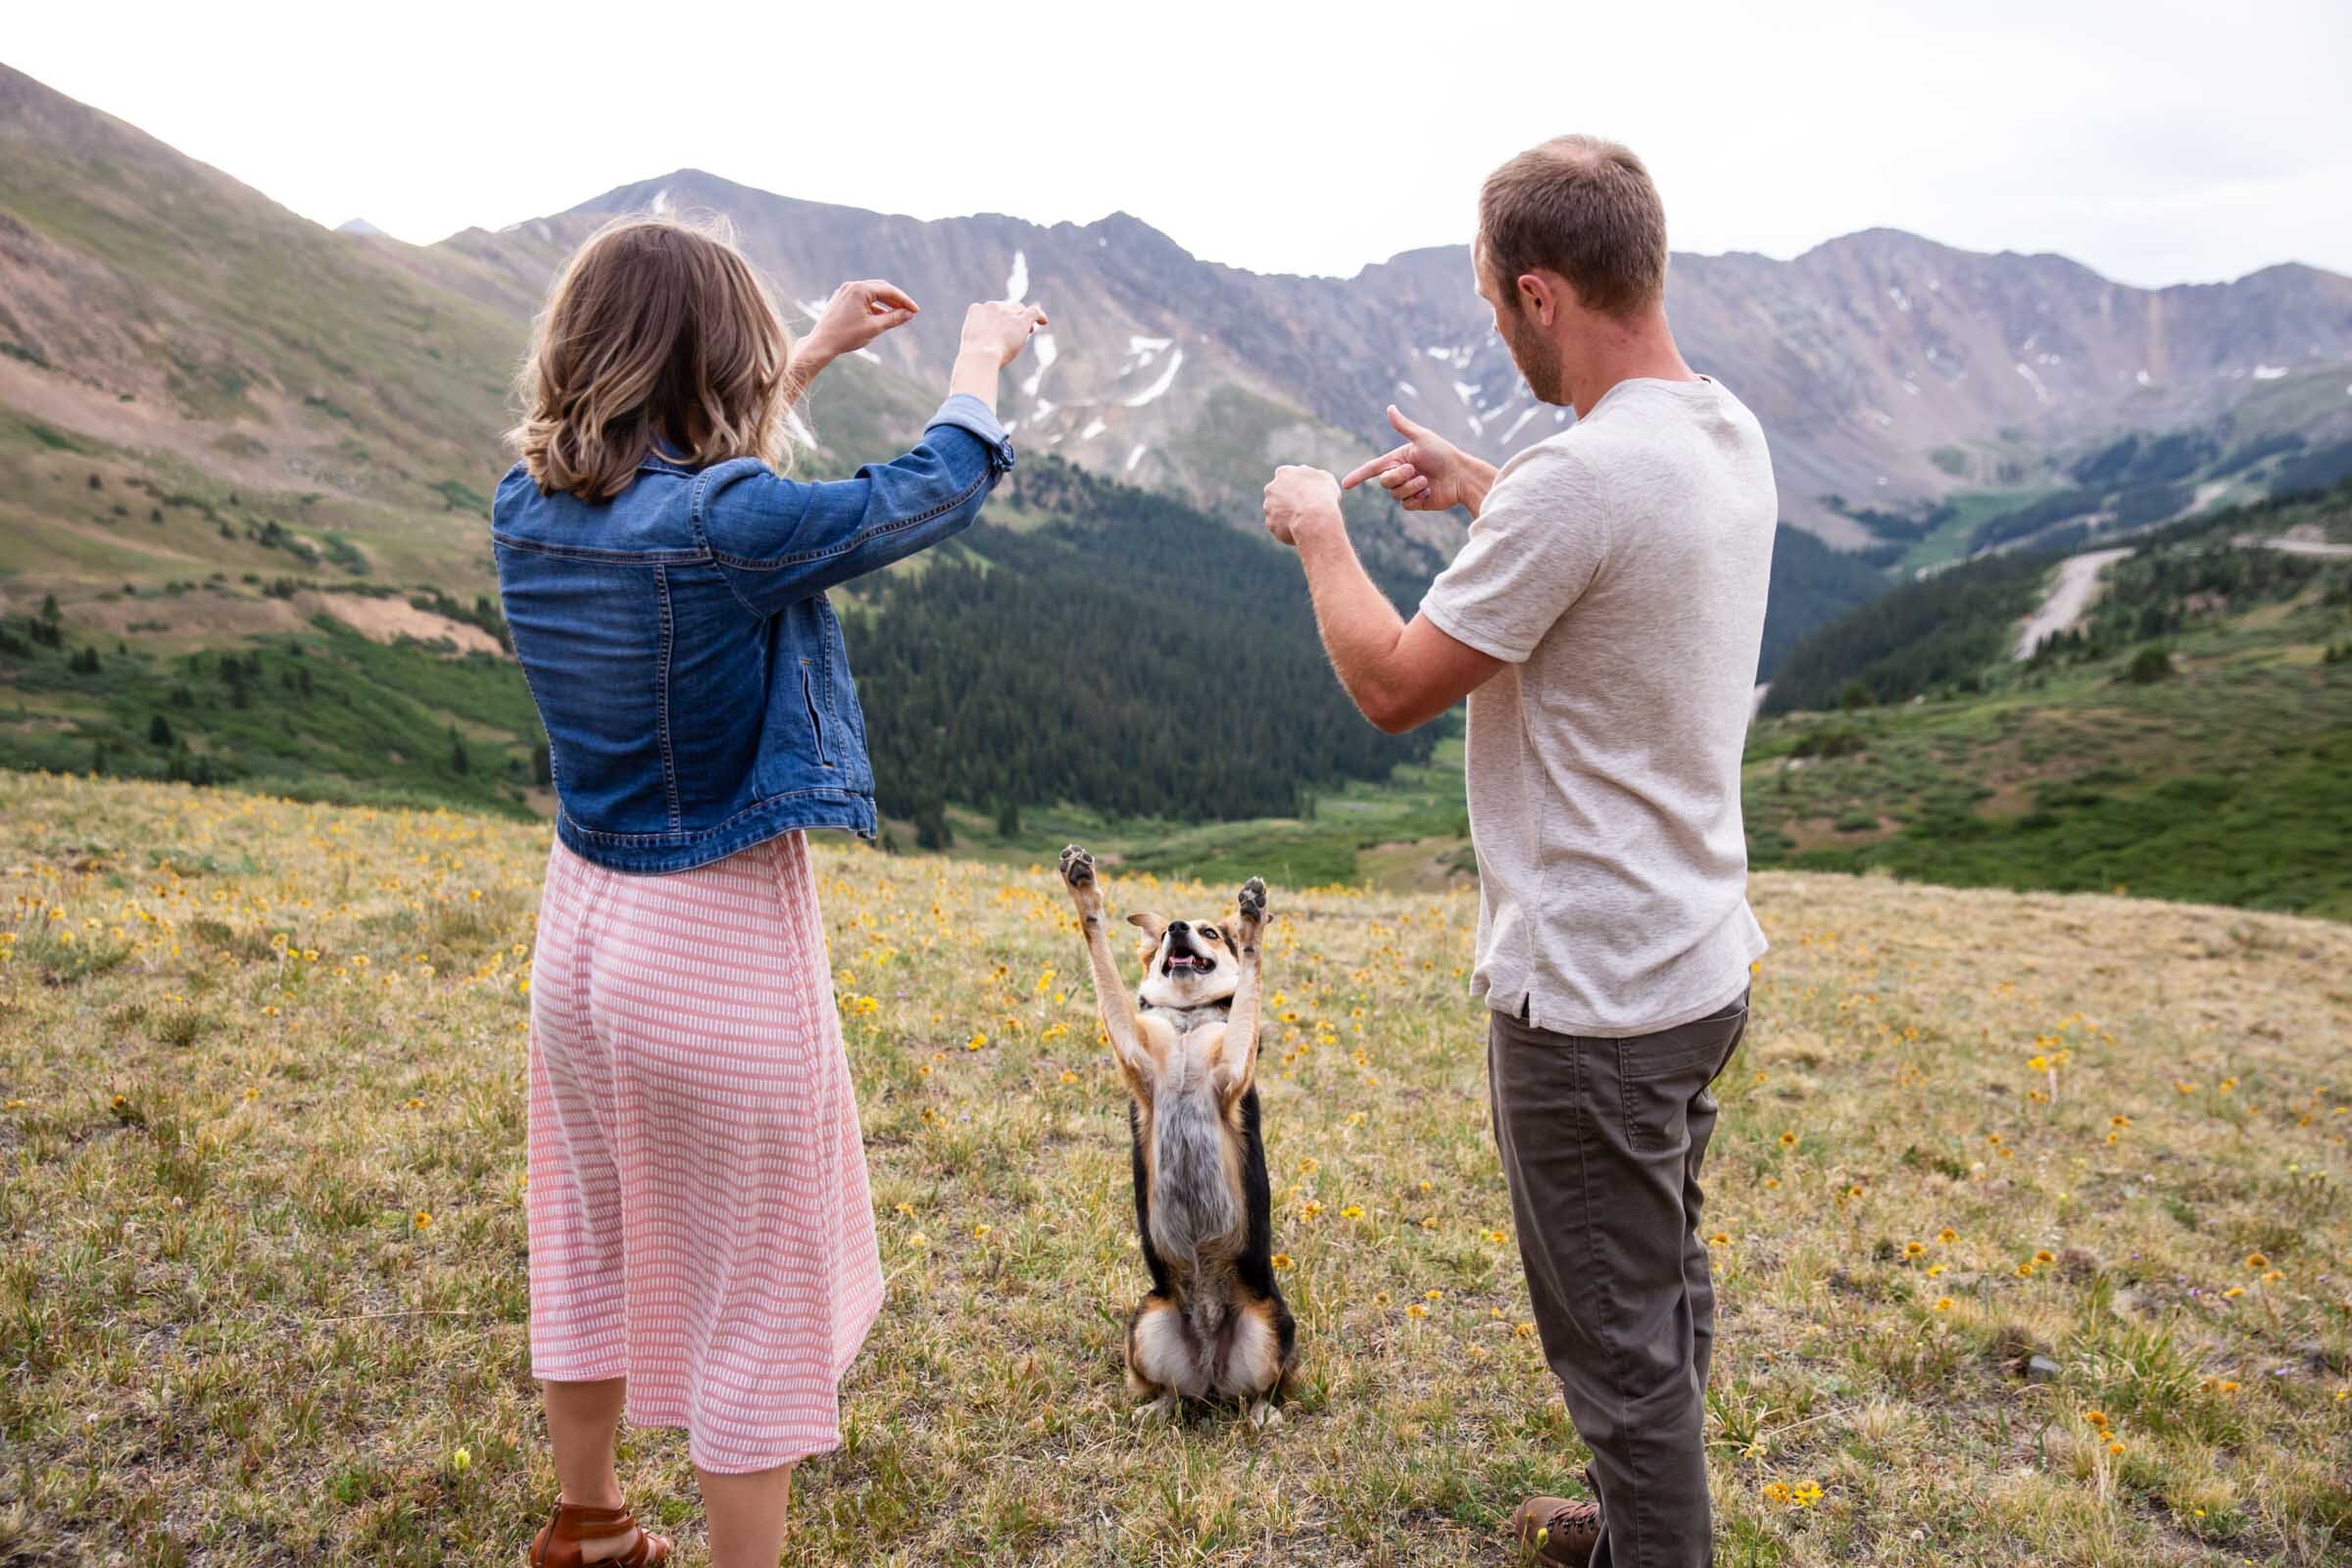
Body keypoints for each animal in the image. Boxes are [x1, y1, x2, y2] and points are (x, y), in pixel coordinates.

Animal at [1058, 846, 1298, 1439]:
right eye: (1168, 932)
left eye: (1211, 932)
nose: (1176, 928)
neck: (1189, 1019)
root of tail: (1209, 1363)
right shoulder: (1134, 1054)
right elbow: (1099, 948)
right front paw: (1083, 889)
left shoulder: (1231, 1071)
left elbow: (1249, 989)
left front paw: (1254, 924)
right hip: (1146, 1320)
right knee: (1170, 1392)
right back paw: (1152, 1410)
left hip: (1272, 1324)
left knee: (1260, 1390)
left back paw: (1262, 1415)